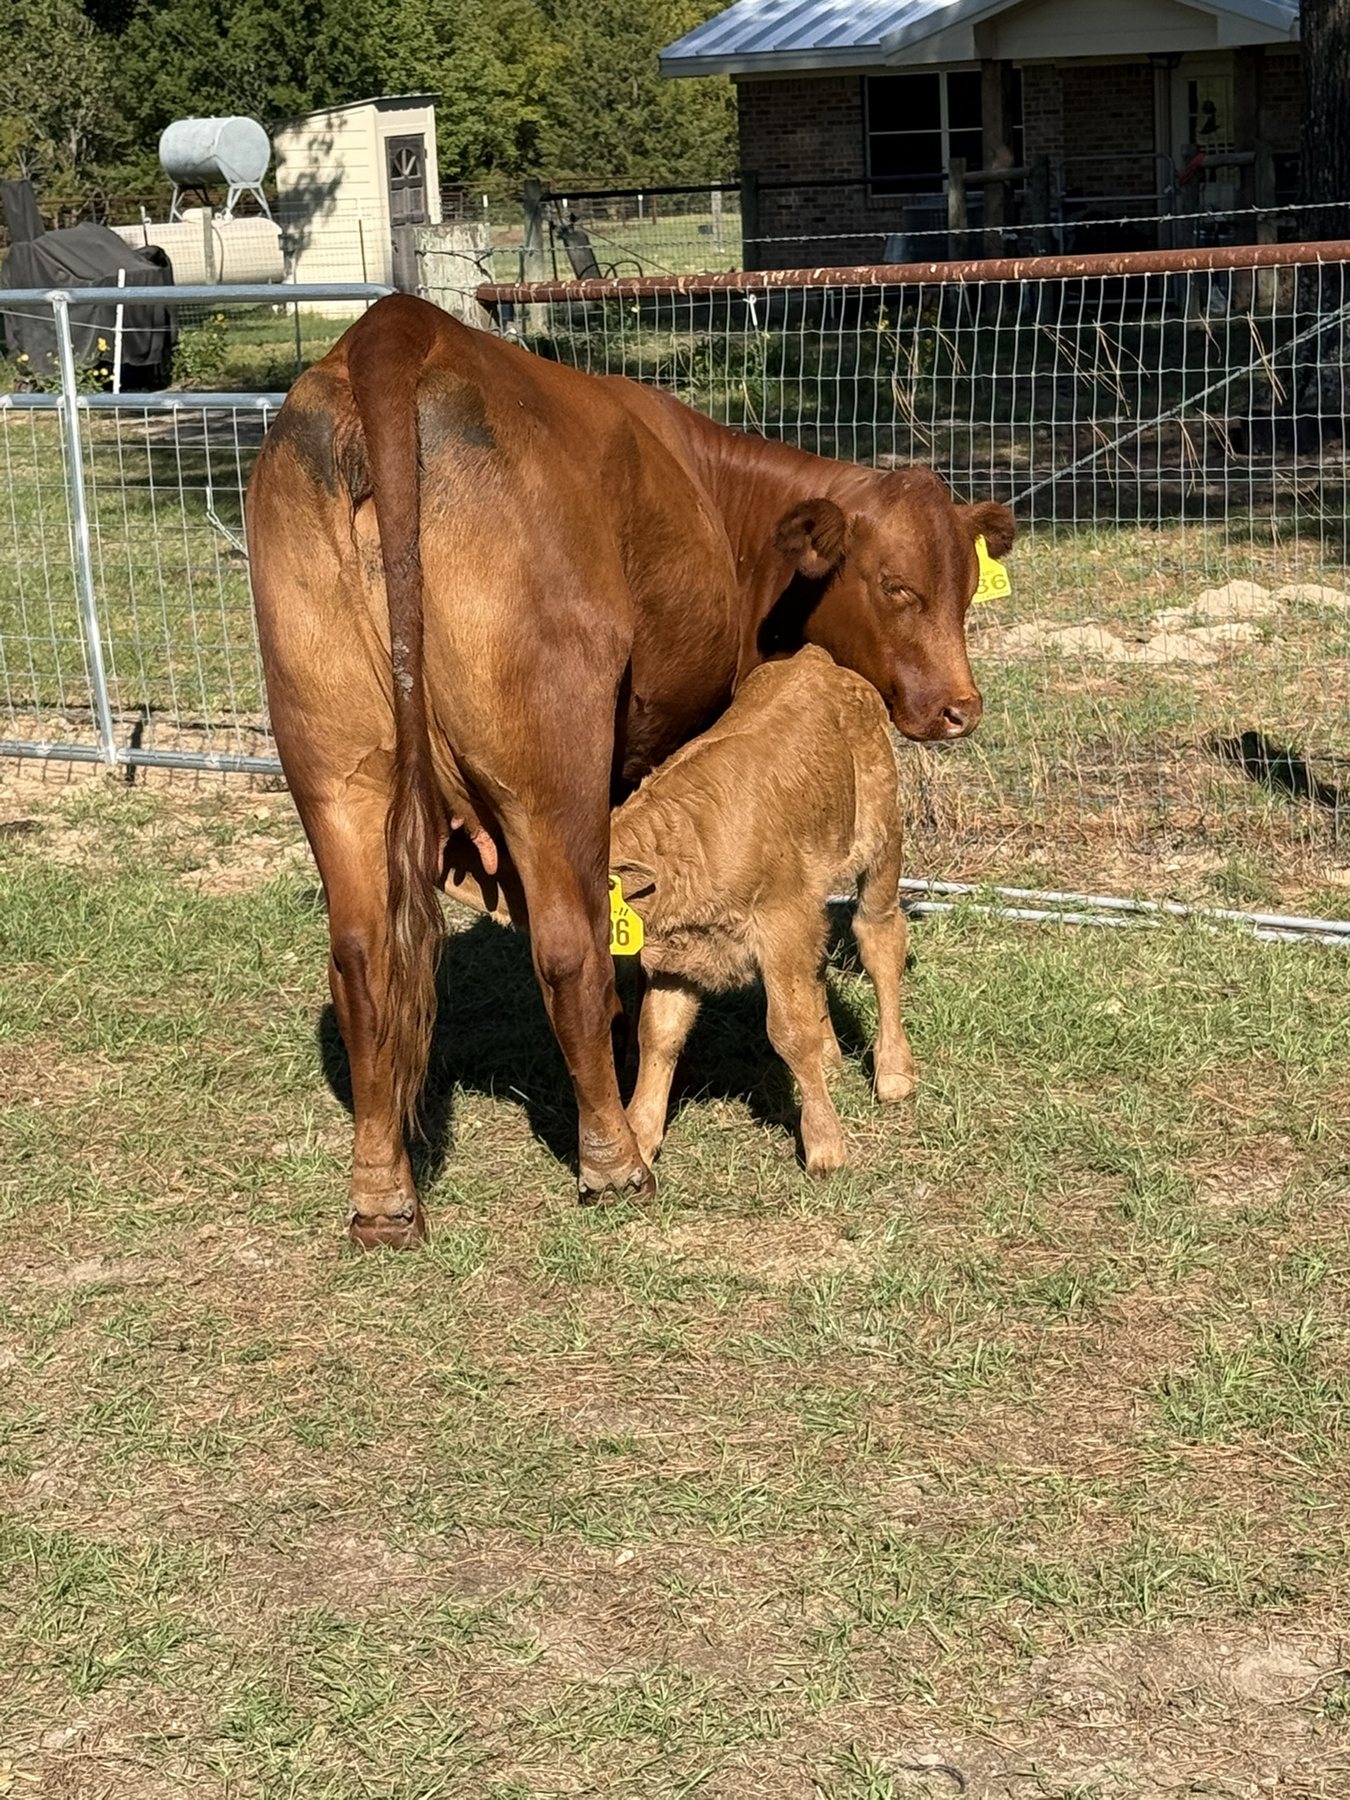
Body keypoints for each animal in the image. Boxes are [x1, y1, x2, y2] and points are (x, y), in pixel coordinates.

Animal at [611, 645, 915, 1177]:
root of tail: (815, 661)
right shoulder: (677, 959)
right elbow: (659, 1035)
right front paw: (640, 1139)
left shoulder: (780, 923)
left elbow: (789, 1030)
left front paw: (825, 1145)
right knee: (818, 965)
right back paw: (834, 1058)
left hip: (882, 840)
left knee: (879, 937)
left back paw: (894, 1070)